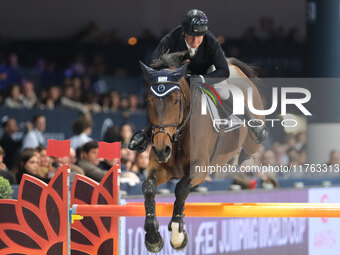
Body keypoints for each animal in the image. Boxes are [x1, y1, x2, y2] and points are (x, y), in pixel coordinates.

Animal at [139, 51, 266, 253]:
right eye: (149, 102)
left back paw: (247, 156)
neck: (180, 133)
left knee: (251, 144)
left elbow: (181, 188)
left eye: (176, 101)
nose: (161, 149)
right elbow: (148, 187)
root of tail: (234, 67)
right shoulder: (160, 166)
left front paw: (177, 234)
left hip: (254, 134)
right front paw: (153, 237)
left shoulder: (200, 168)